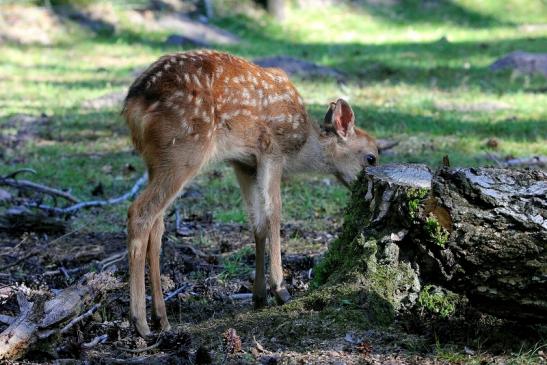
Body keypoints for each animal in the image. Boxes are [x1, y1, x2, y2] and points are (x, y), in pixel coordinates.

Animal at [122, 49, 378, 336]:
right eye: (371, 158)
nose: (364, 190)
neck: (302, 145)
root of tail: (133, 104)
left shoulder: (243, 163)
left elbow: (257, 223)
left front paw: (259, 295)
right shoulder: (272, 151)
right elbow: (274, 213)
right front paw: (280, 289)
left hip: (156, 162)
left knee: (157, 225)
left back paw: (161, 318)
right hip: (184, 150)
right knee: (140, 213)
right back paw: (140, 322)